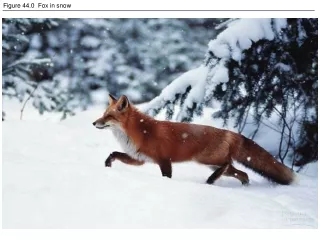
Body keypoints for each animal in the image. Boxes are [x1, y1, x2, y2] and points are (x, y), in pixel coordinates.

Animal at [92, 94, 296, 185]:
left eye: (108, 116)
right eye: (103, 114)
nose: (94, 123)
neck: (141, 131)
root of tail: (229, 132)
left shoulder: (164, 160)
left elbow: (167, 177)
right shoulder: (139, 159)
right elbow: (114, 153)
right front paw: (107, 165)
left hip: (206, 160)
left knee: (227, 164)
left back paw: (211, 180)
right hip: (214, 164)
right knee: (242, 173)